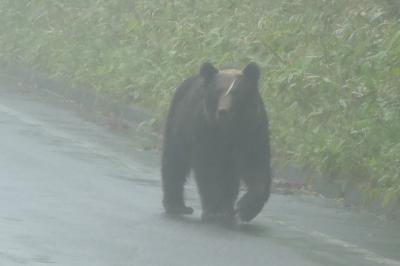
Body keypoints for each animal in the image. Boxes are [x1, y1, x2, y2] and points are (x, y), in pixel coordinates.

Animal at [161, 62, 270, 222]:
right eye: (218, 91)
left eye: (236, 92)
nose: (223, 111)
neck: (228, 129)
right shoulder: (204, 130)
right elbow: (208, 169)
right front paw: (215, 211)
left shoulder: (252, 131)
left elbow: (256, 165)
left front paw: (246, 208)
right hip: (177, 127)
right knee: (174, 163)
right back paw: (177, 205)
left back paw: (228, 208)